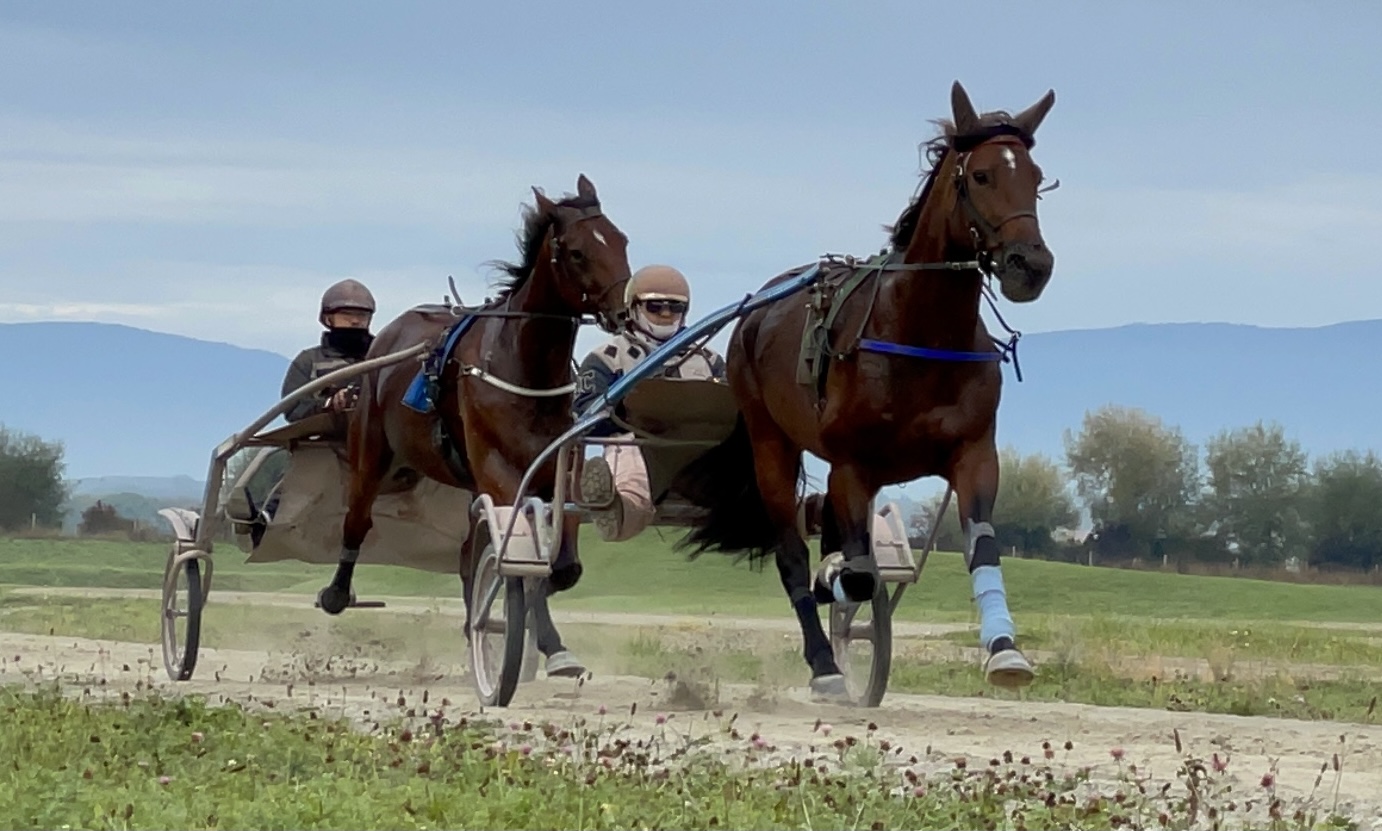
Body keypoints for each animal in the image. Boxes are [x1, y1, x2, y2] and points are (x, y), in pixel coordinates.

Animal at [316, 174, 633, 679]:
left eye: (621, 239)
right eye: (577, 252)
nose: (625, 311)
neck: (526, 369)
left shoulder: (559, 465)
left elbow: (560, 566)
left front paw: (543, 638)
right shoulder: (499, 473)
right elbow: (521, 561)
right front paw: (541, 640)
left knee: (468, 555)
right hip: (370, 443)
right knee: (358, 519)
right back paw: (336, 593)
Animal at [672, 81, 1058, 699]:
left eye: (1036, 176)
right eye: (981, 175)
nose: (1031, 265)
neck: (920, 334)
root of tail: (757, 309)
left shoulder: (975, 453)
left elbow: (982, 547)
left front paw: (1005, 651)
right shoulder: (853, 466)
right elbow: (850, 573)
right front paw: (838, 599)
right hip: (769, 441)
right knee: (790, 552)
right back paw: (825, 662)